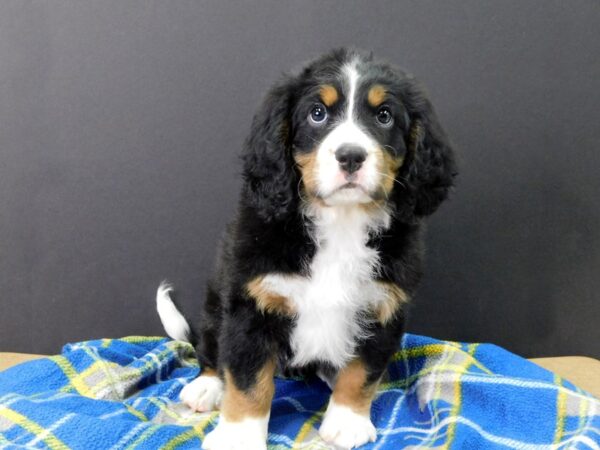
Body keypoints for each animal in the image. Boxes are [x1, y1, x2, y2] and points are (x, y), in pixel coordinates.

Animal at [157, 47, 458, 448]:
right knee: (210, 352)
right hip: (215, 305)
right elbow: (248, 380)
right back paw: (206, 387)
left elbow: (362, 370)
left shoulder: (382, 307)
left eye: (384, 115)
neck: (340, 222)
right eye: (318, 113)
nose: (351, 156)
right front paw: (239, 435)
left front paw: (346, 420)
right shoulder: (252, 306)